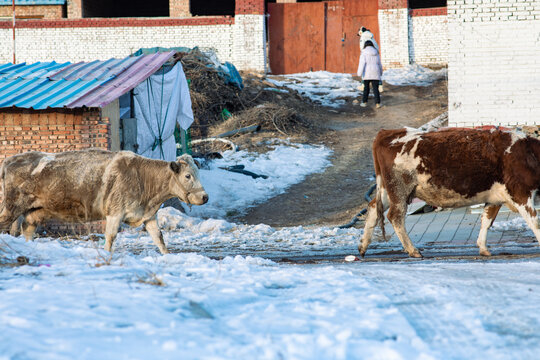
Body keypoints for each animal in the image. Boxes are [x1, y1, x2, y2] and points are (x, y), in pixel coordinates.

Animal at [0, 150, 208, 255]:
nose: (205, 197)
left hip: (32, 213)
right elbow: (110, 237)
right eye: (188, 175)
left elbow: (159, 238)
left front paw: (167, 256)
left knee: (27, 230)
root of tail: (9, 160)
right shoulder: (115, 212)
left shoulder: (148, 215)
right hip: (10, 208)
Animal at [360, 128, 540, 258]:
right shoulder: (521, 193)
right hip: (399, 191)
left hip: (386, 191)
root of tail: (387, 132)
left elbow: (486, 221)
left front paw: (482, 247)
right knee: (395, 217)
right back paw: (413, 250)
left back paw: (362, 246)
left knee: (373, 208)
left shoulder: (495, 198)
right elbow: (534, 221)